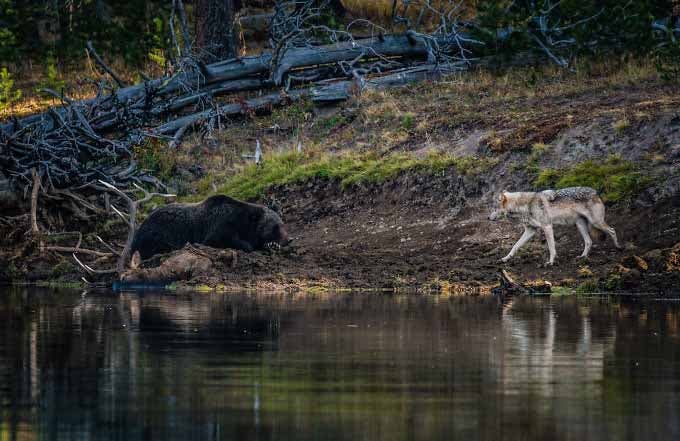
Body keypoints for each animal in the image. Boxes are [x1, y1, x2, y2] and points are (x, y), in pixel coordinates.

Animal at [131, 194, 290, 260]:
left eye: (282, 224)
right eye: (275, 226)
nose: (290, 239)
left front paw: (272, 245)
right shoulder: (219, 225)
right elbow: (222, 239)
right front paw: (248, 245)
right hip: (159, 233)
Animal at [488, 186, 620, 264]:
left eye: (494, 208)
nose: (488, 217)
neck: (525, 205)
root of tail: (595, 192)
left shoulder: (547, 226)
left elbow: (551, 247)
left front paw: (551, 262)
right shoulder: (530, 230)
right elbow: (515, 246)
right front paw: (506, 258)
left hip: (596, 222)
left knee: (612, 230)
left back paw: (618, 247)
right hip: (580, 225)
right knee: (589, 241)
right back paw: (582, 257)